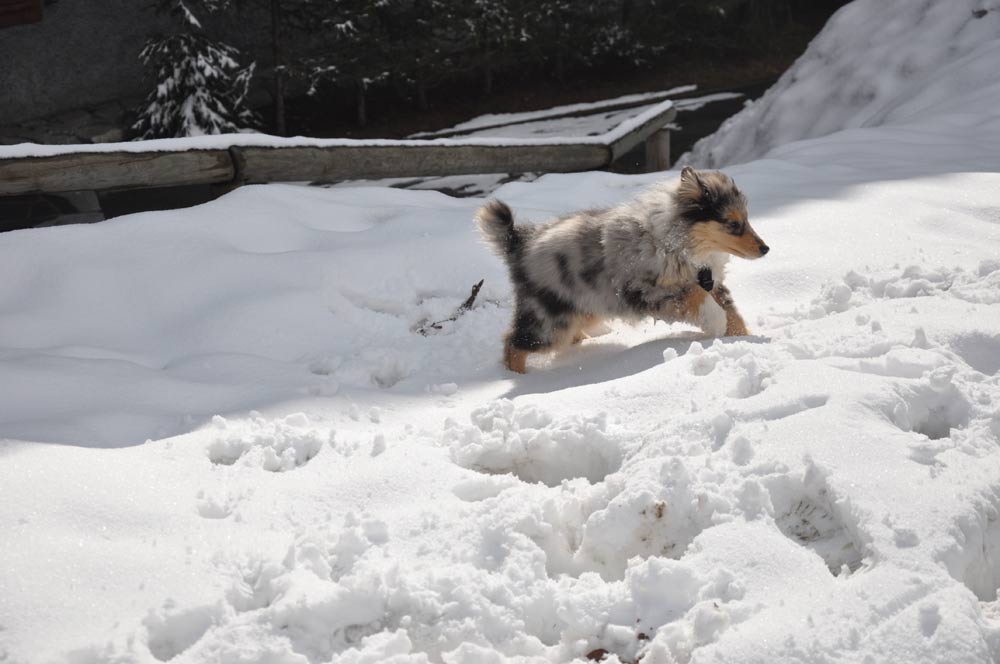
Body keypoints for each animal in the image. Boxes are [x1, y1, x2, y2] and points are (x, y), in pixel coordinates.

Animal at [474, 166, 764, 374]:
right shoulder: (648, 292)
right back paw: (519, 378)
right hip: (550, 321)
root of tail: (519, 241)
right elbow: (699, 299)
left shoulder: (711, 282)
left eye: (747, 219)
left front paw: (742, 339)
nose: (766, 249)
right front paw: (717, 325)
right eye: (732, 224)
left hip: (584, 307)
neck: (674, 241)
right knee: (513, 343)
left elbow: (731, 311)